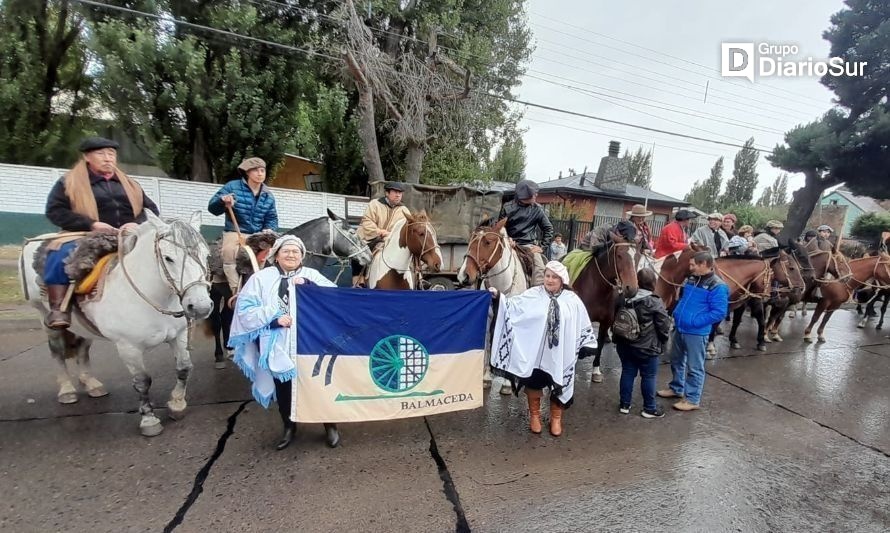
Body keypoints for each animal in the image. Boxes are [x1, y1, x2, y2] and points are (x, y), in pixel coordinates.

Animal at [19, 210, 213, 434]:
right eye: (168, 258)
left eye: (206, 255)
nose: (200, 307)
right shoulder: (128, 347)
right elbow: (142, 381)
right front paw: (149, 420)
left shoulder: (179, 335)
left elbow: (184, 368)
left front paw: (176, 405)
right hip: (45, 318)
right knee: (57, 351)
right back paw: (67, 390)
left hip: (84, 325)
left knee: (83, 349)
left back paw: (92, 384)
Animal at [458, 218, 528, 392]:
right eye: (470, 241)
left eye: (488, 242)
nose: (463, 276)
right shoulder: (488, 317)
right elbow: (487, 345)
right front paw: (486, 377)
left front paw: (507, 383)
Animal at [568, 235, 640, 380]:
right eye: (619, 255)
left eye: (637, 257)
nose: (631, 288)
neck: (598, 288)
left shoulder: (606, 322)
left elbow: (600, 343)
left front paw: (596, 370)